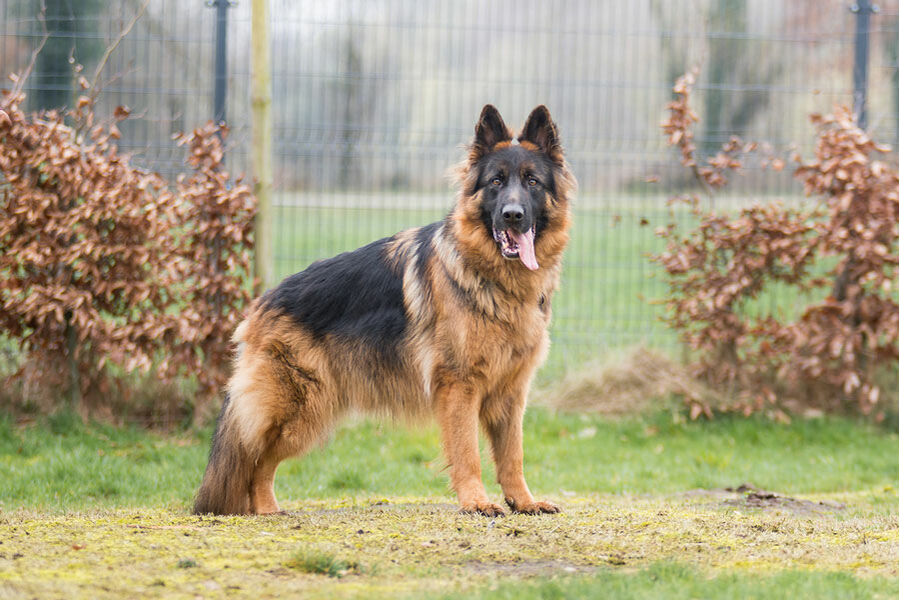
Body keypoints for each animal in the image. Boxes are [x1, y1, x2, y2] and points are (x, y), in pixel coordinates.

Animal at [196, 103, 576, 516]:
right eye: (495, 182)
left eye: (532, 182)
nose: (512, 215)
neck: (495, 281)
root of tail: (261, 303)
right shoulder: (460, 386)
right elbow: (467, 452)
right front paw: (476, 501)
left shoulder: (510, 393)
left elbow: (513, 455)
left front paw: (523, 501)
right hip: (299, 410)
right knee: (256, 460)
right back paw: (267, 509)